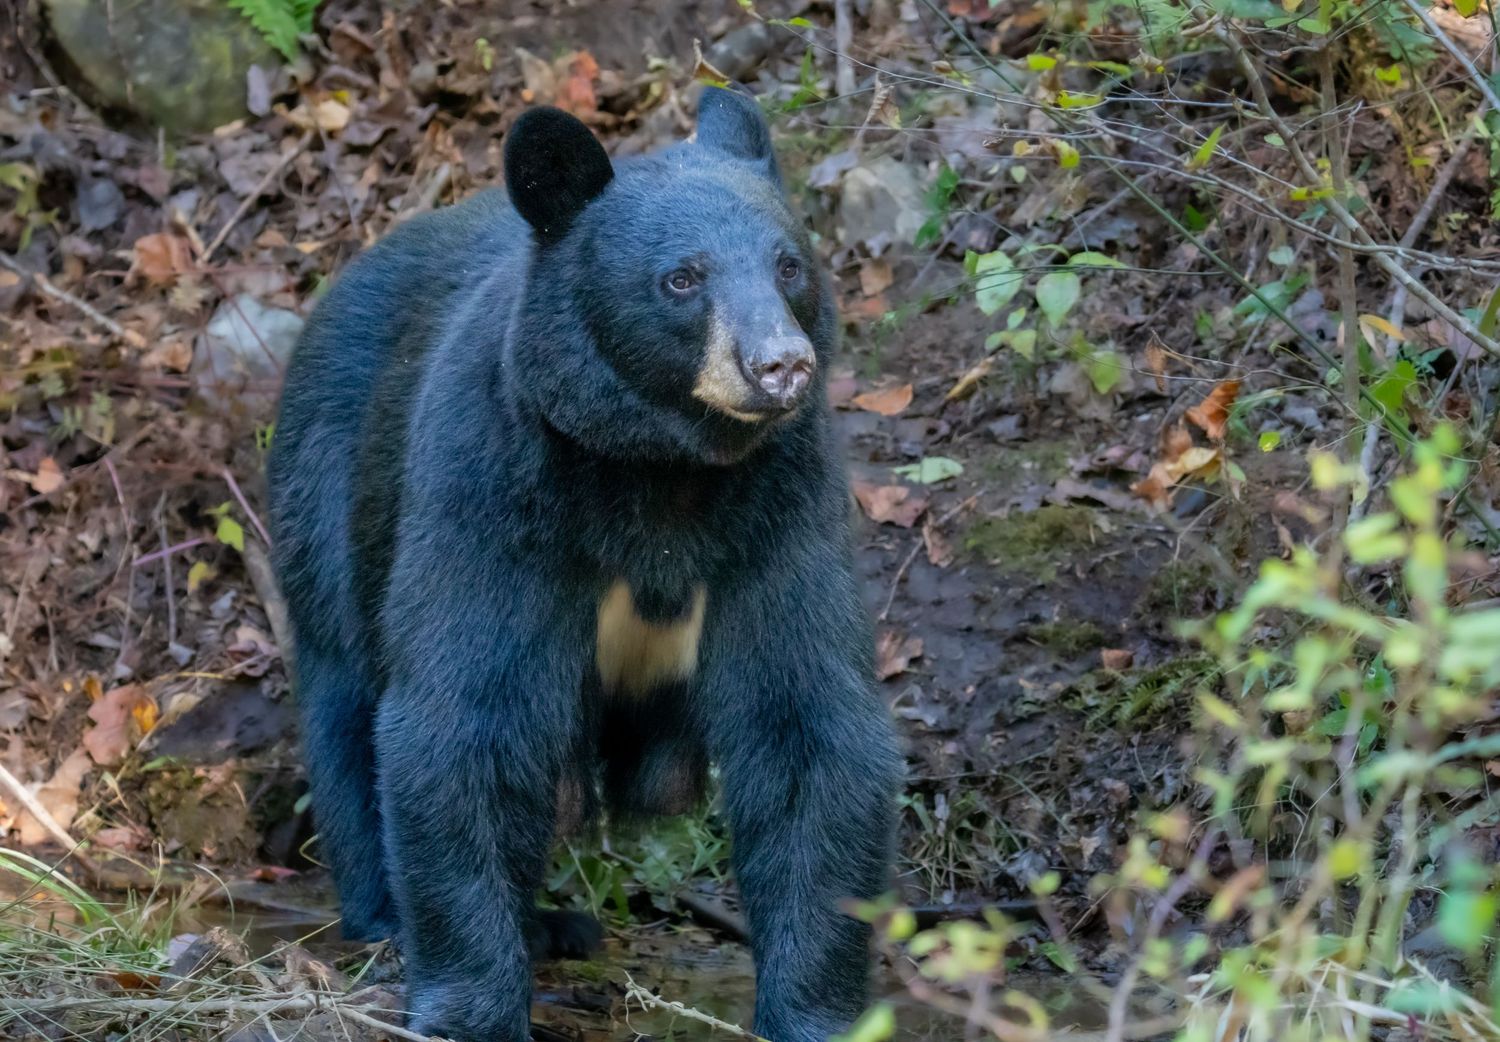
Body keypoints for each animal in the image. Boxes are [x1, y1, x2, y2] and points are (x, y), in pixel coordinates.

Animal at [266, 86, 902, 1042]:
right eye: (682, 278)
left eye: (789, 265)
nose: (781, 365)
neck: (662, 467)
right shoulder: (494, 484)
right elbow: (470, 717)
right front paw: (471, 1009)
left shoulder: (785, 503)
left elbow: (807, 724)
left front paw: (815, 1012)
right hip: (326, 491)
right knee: (345, 705)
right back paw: (387, 918)